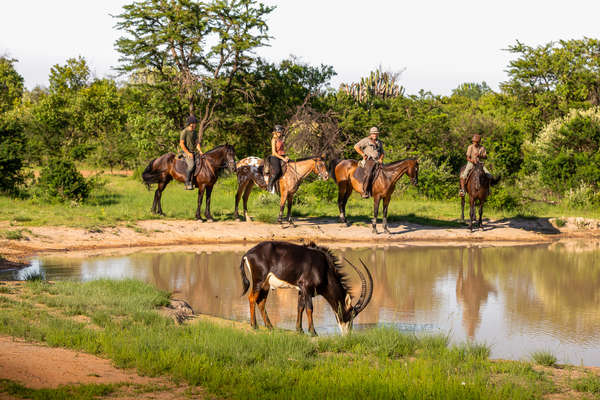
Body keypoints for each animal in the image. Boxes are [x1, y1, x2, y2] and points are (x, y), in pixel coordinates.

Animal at [238, 239, 370, 336]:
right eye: (351, 314)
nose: (347, 335)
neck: (325, 267)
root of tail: (248, 254)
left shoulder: (301, 290)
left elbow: (300, 307)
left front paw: (300, 330)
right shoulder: (307, 288)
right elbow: (309, 309)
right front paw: (313, 332)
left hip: (266, 285)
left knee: (261, 302)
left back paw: (270, 326)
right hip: (259, 282)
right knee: (252, 298)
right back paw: (254, 325)